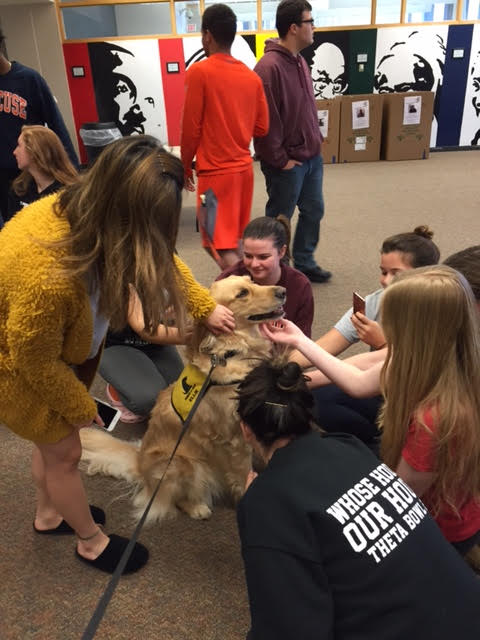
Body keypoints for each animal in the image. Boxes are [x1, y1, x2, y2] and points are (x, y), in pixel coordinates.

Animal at [80, 278, 286, 524]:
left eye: (252, 281)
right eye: (243, 293)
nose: (283, 291)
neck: (233, 353)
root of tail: (139, 463)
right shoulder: (235, 438)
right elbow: (242, 473)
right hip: (185, 465)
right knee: (171, 500)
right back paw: (197, 508)